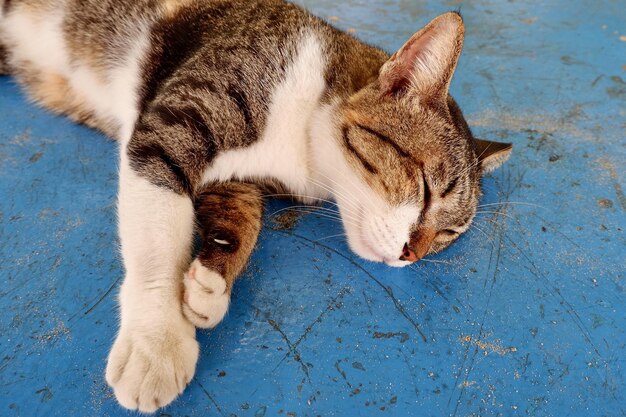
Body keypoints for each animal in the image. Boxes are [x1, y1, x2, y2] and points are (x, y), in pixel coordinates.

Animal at [0, 0, 512, 410]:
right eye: (426, 188)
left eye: (449, 234)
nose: (412, 255)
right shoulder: (170, 128)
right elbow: (157, 240)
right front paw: (157, 342)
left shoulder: (238, 179)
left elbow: (244, 214)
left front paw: (210, 281)